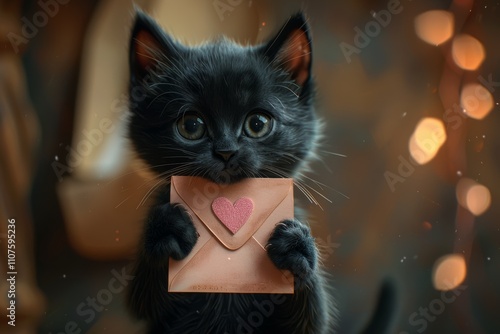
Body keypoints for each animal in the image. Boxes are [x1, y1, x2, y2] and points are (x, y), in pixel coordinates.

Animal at [127, 10, 334, 334]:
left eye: (258, 124)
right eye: (191, 125)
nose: (226, 150)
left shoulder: (307, 325)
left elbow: (312, 318)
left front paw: (297, 248)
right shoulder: (149, 314)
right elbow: (141, 300)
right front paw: (167, 229)